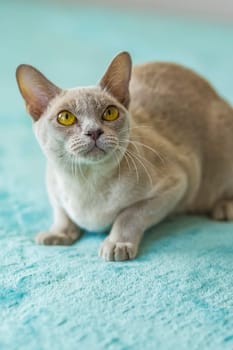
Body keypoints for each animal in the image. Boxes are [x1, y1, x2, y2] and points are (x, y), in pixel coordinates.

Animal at [15, 51, 233, 260]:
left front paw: (117, 244)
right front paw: (58, 234)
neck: (85, 182)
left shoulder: (177, 184)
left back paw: (225, 208)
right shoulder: (54, 191)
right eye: (65, 117)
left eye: (109, 113)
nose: (93, 131)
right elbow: (62, 214)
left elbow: (128, 216)